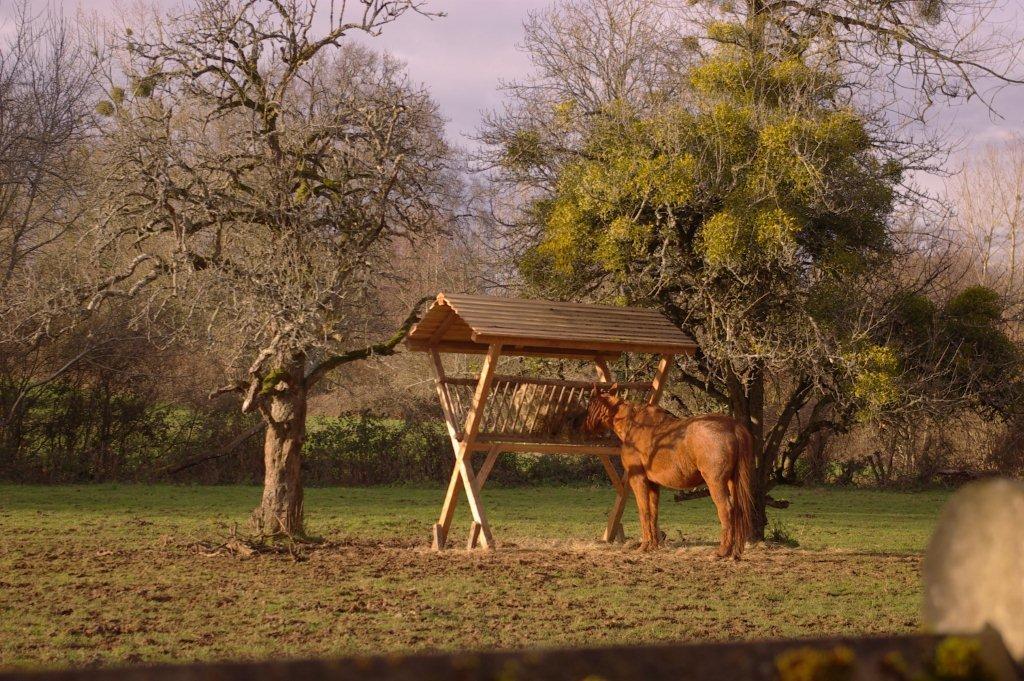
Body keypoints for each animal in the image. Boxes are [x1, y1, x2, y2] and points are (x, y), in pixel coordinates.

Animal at [584, 384, 755, 559]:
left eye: (590, 403)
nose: (585, 428)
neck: (634, 426)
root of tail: (733, 426)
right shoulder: (653, 484)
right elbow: (653, 513)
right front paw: (653, 545)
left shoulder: (638, 479)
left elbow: (644, 511)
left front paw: (644, 546)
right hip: (732, 482)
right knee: (738, 511)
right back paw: (734, 551)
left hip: (716, 483)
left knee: (726, 510)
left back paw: (722, 551)